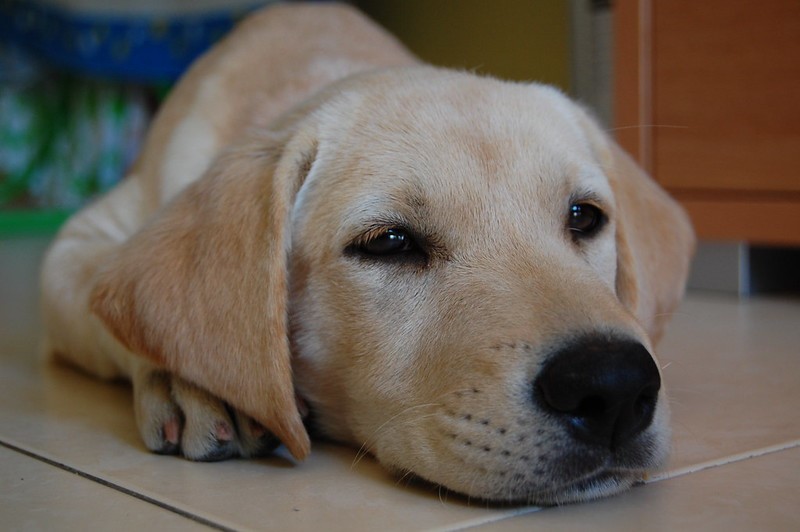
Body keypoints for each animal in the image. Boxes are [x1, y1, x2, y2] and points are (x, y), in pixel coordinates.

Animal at [40, 3, 692, 502]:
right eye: (390, 243)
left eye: (584, 217)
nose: (614, 387)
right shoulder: (75, 245)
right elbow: (106, 306)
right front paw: (189, 384)